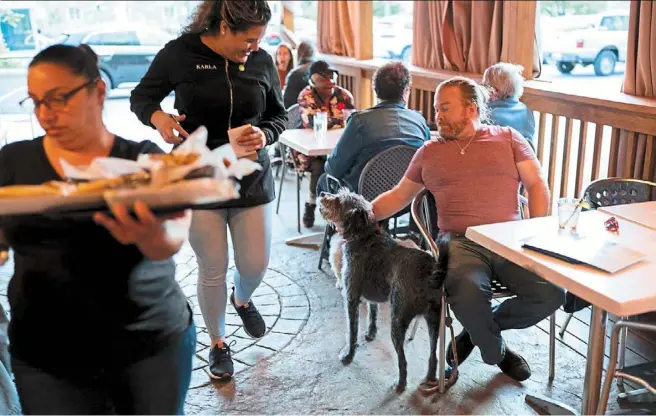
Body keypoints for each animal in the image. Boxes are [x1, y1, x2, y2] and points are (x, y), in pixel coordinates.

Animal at [320, 190, 452, 392]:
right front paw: (370, 334)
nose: (322, 194)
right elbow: (372, 314)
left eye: (340, 199)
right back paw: (429, 378)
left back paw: (400, 385)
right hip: (434, 321)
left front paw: (348, 356)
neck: (363, 235)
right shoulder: (371, 297)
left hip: (397, 321)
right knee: (433, 355)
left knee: (403, 360)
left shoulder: (351, 298)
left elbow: (352, 331)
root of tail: (429, 274)